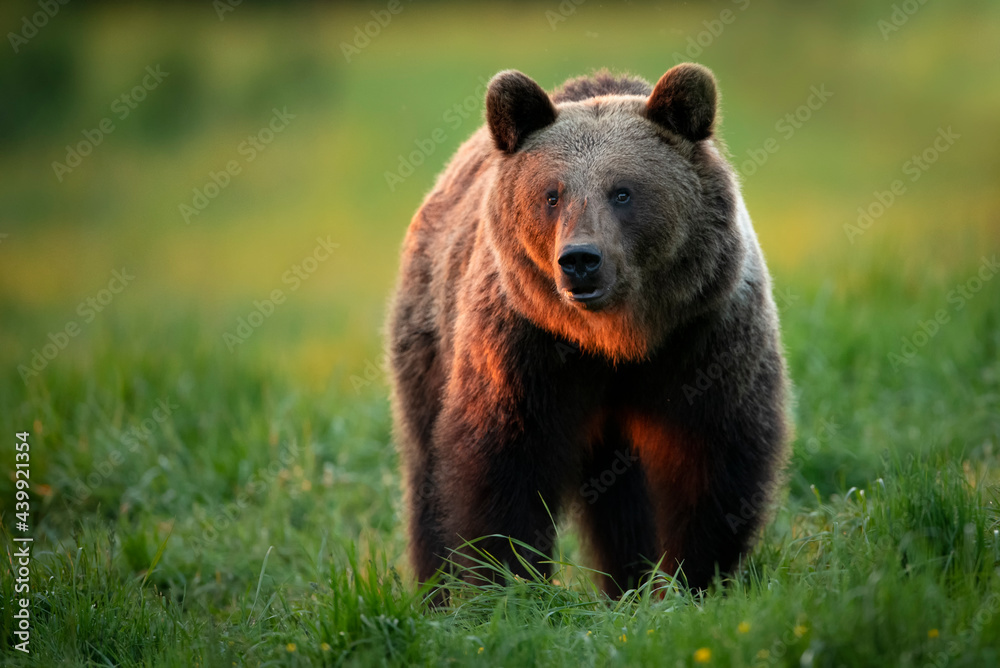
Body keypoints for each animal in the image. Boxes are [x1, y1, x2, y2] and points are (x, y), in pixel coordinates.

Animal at [388, 63, 790, 596]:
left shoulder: (704, 337)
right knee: (426, 468)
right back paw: (435, 589)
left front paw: (693, 578)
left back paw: (628, 580)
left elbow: (714, 456)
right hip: (429, 342)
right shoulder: (525, 348)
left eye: (623, 191)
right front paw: (507, 582)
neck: (616, 340)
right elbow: (503, 466)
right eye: (552, 194)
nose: (580, 260)